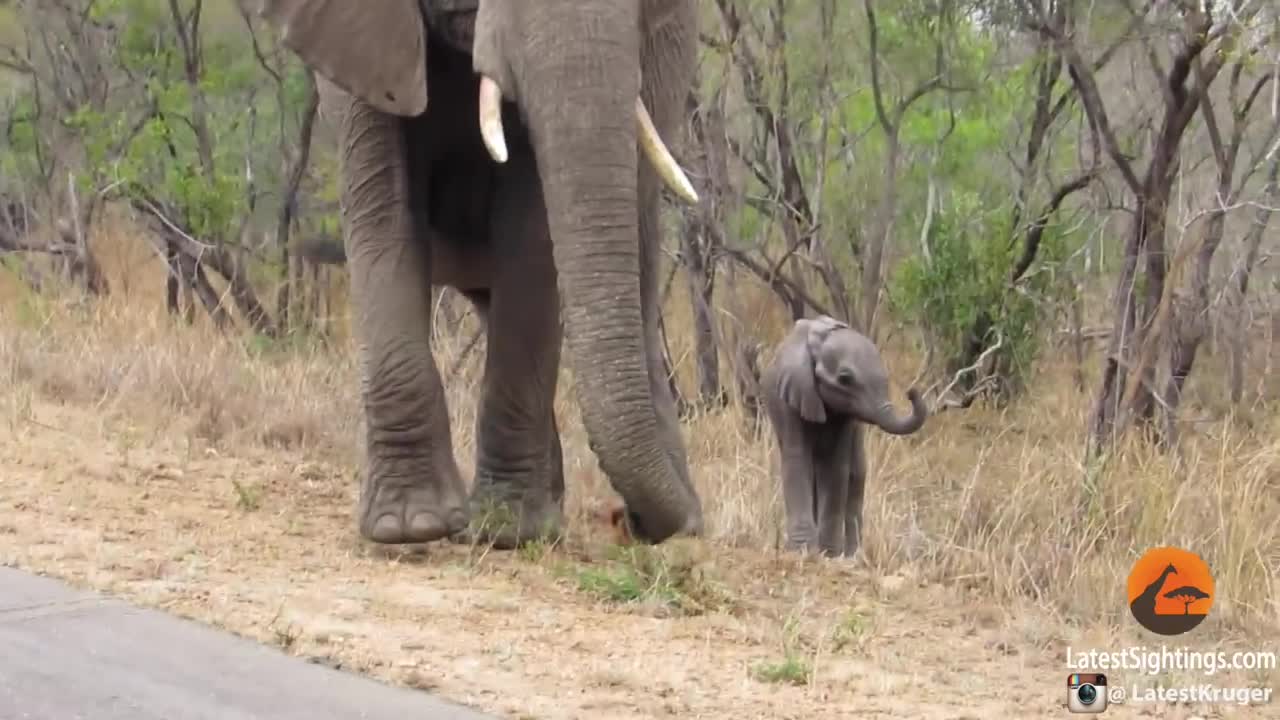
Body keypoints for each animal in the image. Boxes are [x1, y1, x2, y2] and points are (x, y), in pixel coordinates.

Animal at [249, 1, 706, 543]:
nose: (625, 520)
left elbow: (531, 235)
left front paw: (505, 528)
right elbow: (382, 208)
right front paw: (411, 524)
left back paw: (677, 519)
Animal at [757, 313, 931, 556]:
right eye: (845, 378)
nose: (910, 392)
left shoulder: (847, 416)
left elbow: (836, 468)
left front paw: (829, 553)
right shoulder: (789, 397)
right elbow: (797, 459)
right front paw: (803, 551)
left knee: (856, 472)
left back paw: (852, 554)